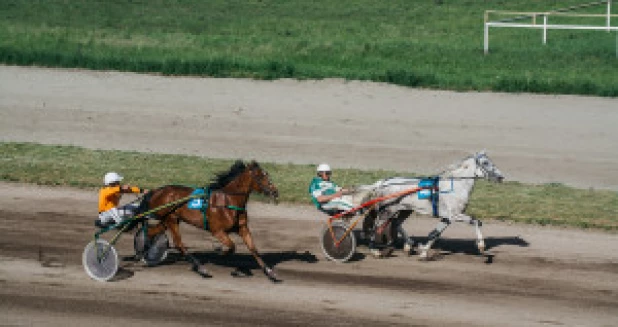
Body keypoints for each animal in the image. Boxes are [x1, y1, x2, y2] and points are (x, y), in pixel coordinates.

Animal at [141, 161, 278, 282]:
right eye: (260, 176)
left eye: (267, 175)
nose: (275, 191)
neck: (229, 201)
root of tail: (156, 191)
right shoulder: (217, 231)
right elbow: (232, 246)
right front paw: (220, 251)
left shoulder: (242, 228)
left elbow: (253, 249)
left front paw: (270, 273)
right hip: (171, 219)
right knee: (178, 243)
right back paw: (202, 269)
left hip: (168, 220)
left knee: (150, 232)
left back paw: (144, 256)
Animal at [366, 150, 500, 260]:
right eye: (485, 163)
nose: (500, 177)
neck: (456, 186)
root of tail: (383, 182)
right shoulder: (455, 214)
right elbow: (477, 221)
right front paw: (481, 245)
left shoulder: (447, 217)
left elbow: (434, 234)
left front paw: (423, 252)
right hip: (387, 210)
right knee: (375, 228)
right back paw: (375, 251)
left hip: (405, 210)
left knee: (396, 223)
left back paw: (408, 245)